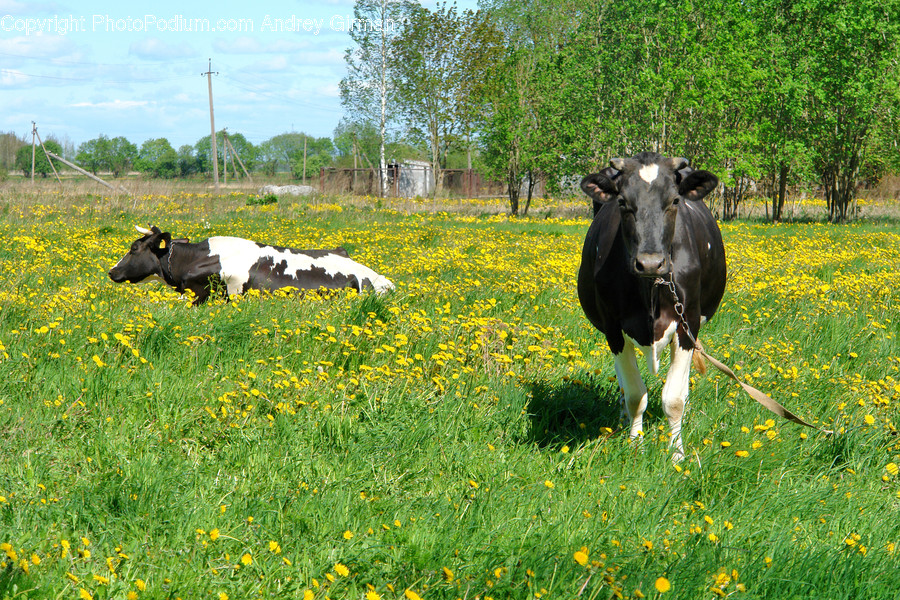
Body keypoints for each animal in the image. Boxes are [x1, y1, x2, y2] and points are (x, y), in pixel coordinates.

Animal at [577, 152, 726, 461]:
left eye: (675, 200)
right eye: (622, 202)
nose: (649, 263)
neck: (650, 287)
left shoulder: (687, 322)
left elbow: (674, 398)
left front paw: (677, 454)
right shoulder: (613, 328)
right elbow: (635, 394)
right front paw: (636, 445)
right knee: (625, 385)